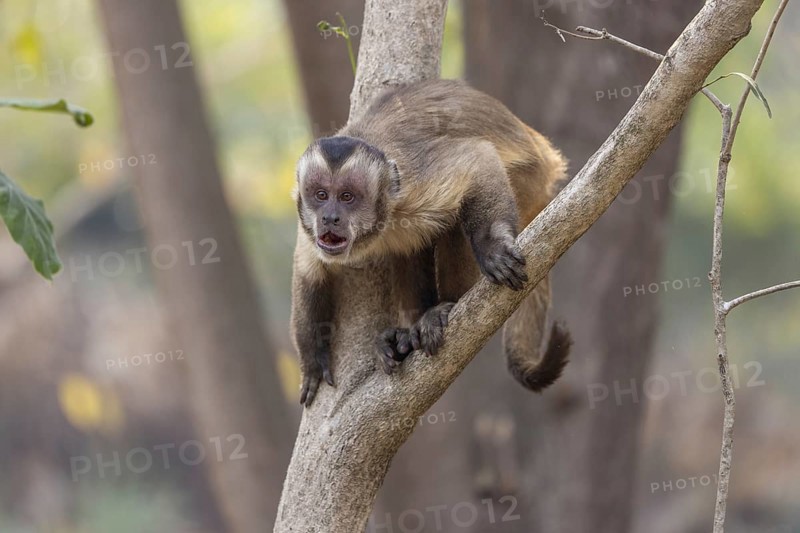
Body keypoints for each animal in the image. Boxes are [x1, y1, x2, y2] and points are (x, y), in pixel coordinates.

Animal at [291, 79, 572, 407]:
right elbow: (308, 272)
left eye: (347, 197)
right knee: (409, 247)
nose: (330, 217)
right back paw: (406, 336)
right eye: (320, 195)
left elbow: (478, 159)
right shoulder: (307, 226)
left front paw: (492, 247)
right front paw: (311, 358)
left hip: (526, 183)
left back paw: (445, 307)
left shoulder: (413, 182)